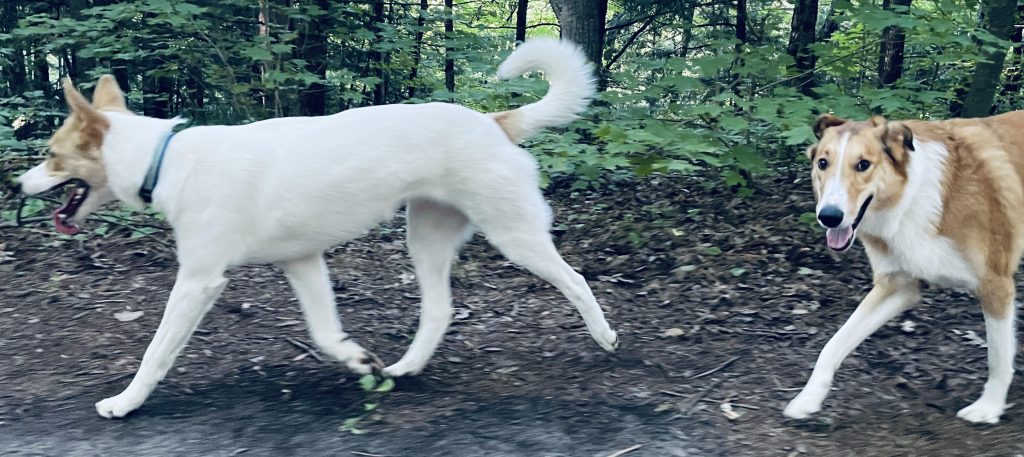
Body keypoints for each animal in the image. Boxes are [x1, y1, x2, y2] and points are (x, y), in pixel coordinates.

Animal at [16, 39, 618, 418]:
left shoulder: (199, 282)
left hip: (514, 235)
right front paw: (359, 360)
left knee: (576, 279)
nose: (18, 184)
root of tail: (494, 122)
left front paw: (125, 403)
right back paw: (405, 367)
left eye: (50, 155)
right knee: (439, 311)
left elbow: (155, 353)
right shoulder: (302, 263)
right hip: (424, 238)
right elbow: (326, 335)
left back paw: (605, 337)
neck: (165, 159)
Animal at [778, 112, 1024, 422]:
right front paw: (808, 397)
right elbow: (833, 344)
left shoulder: (995, 285)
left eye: (863, 164)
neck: (914, 200)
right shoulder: (898, 286)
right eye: (823, 163)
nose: (829, 217)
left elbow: (998, 357)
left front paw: (989, 407)